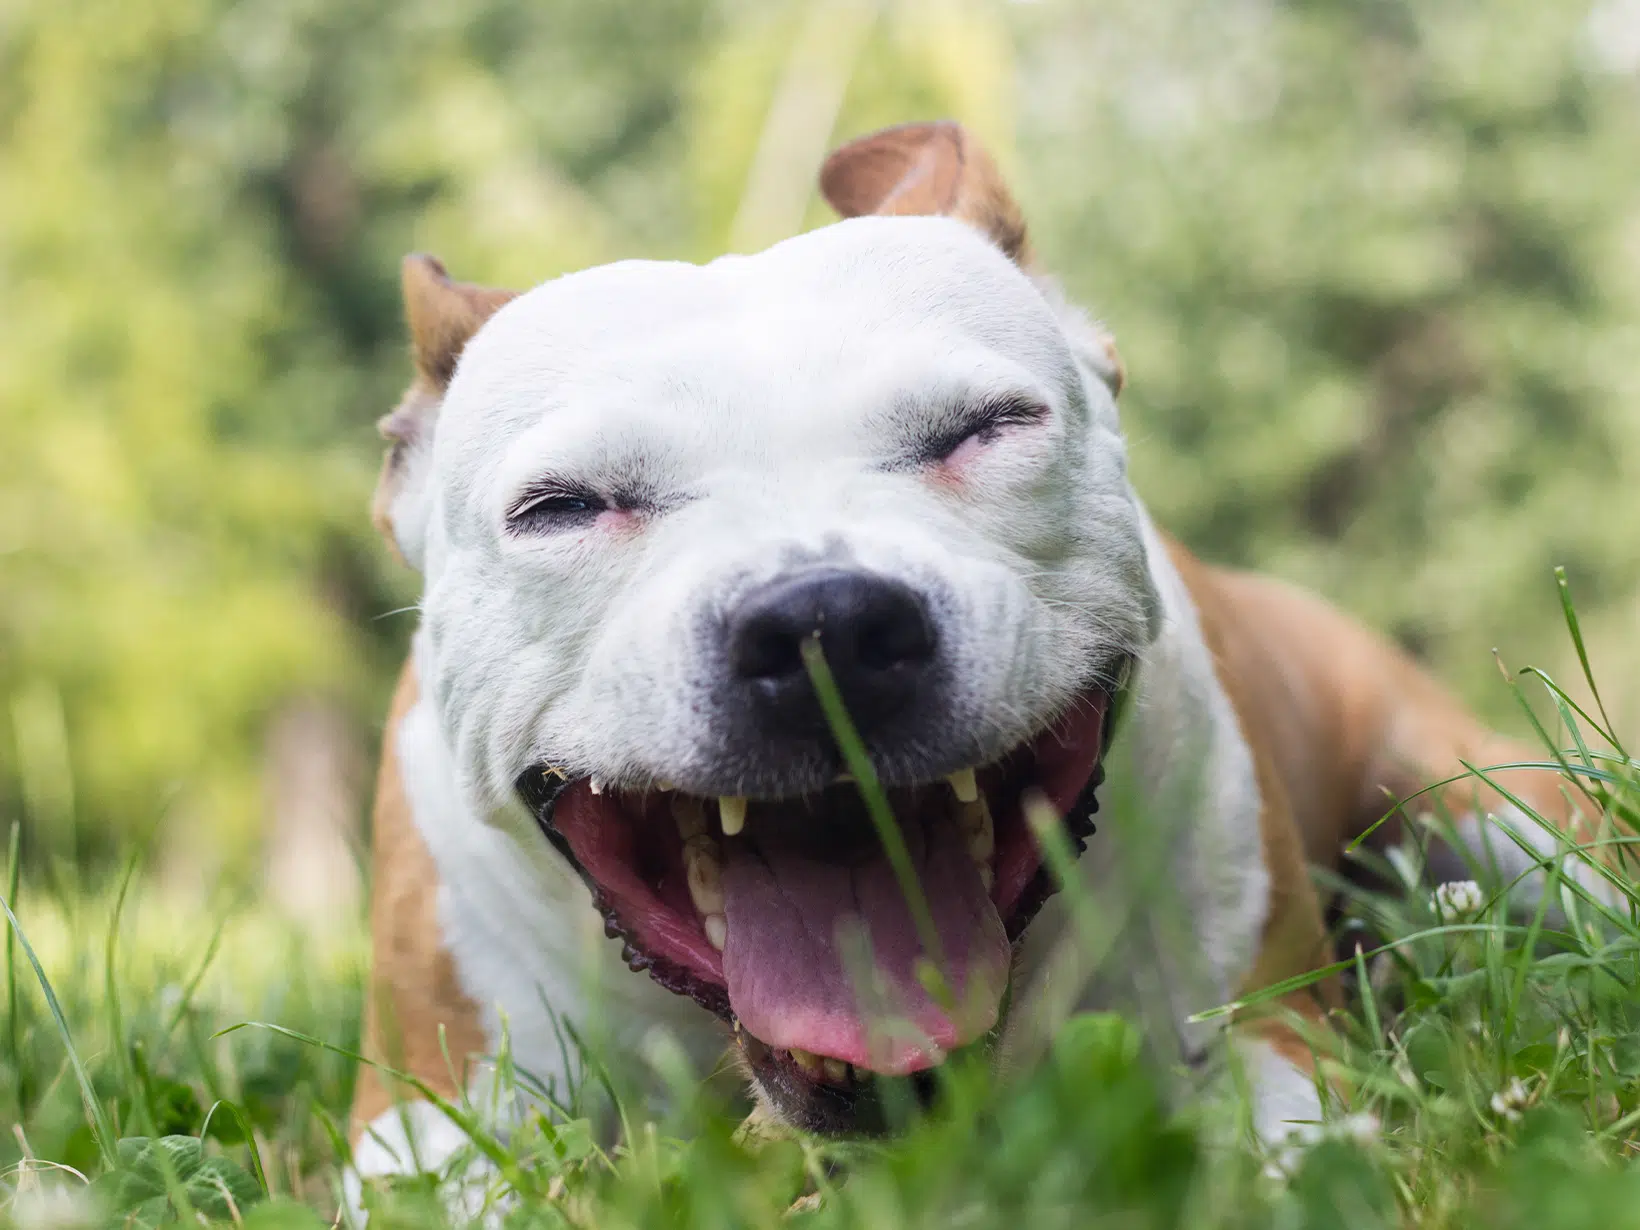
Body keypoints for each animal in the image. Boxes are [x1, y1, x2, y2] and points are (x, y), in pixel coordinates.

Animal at [342, 120, 1587, 1200]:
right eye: (561, 507)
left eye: (986, 427)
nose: (823, 626)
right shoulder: (423, 1121)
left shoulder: (1266, 1036)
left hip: (1503, 816)